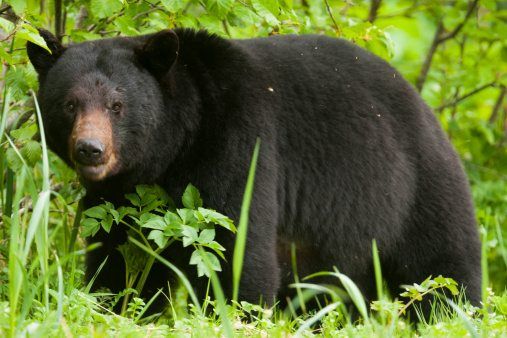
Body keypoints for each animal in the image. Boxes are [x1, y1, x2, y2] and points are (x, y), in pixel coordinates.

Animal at [26, 29, 480, 312]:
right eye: (70, 104)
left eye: (117, 105)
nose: (90, 150)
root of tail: (426, 108)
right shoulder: (117, 195)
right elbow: (116, 254)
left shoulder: (240, 144)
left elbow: (237, 246)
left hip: (415, 190)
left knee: (443, 271)